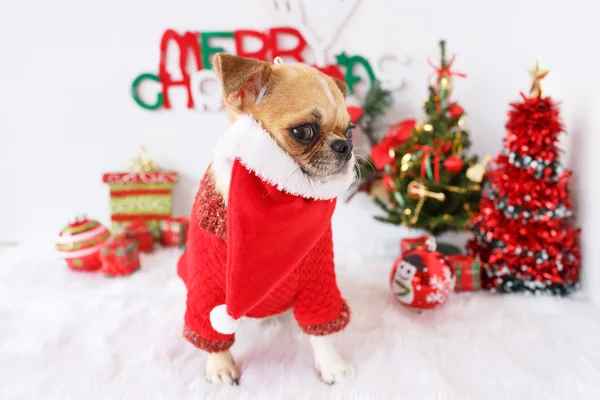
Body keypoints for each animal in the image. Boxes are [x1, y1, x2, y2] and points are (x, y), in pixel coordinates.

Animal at [178, 53, 356, 384]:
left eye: (350, 130)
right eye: (303, 132)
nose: (346, 146)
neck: (276, 201)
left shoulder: (318, 283)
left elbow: (322, 331)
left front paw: (331, 365)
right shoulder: (207, 289)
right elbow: (211, 331)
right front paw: (220, 366)